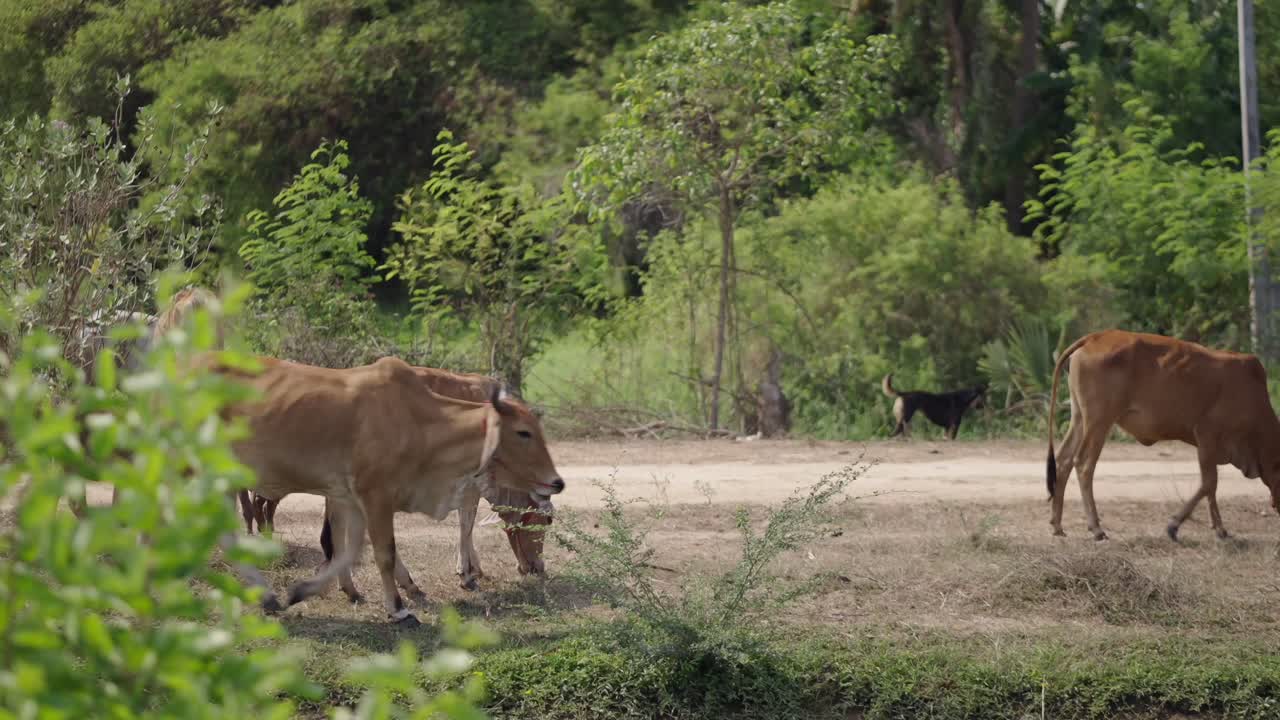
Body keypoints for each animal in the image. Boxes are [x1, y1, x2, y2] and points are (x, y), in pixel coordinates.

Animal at [1046, 329, 1280, 541]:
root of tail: (1094, 337)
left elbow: (1211, 488)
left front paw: (1218, 528)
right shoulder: (1206, 436)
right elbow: (1208, 484)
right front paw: (1176, 526)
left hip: (1080, 418)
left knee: (1064, 460)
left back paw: (1057, 525)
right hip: (1099, 421)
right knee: (1084, 464)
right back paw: (1096, 528)